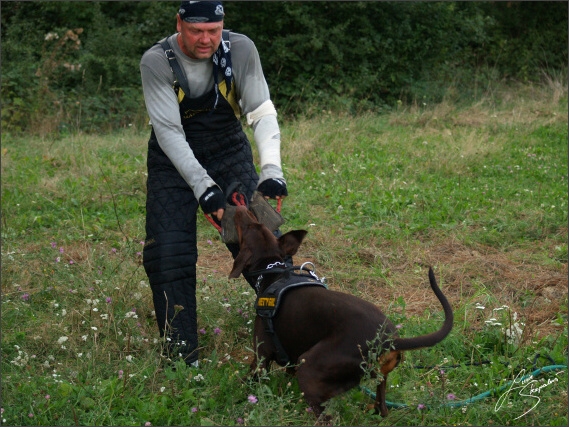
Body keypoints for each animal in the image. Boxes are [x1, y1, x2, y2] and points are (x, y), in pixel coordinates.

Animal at [227, 207, 452, 418]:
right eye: (257, 224)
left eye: (248, 227)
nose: (239, 208)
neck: (272, 272)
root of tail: (387, 339)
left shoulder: (261, 357)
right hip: (378, 378)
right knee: (382, 408)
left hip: (309, 370)